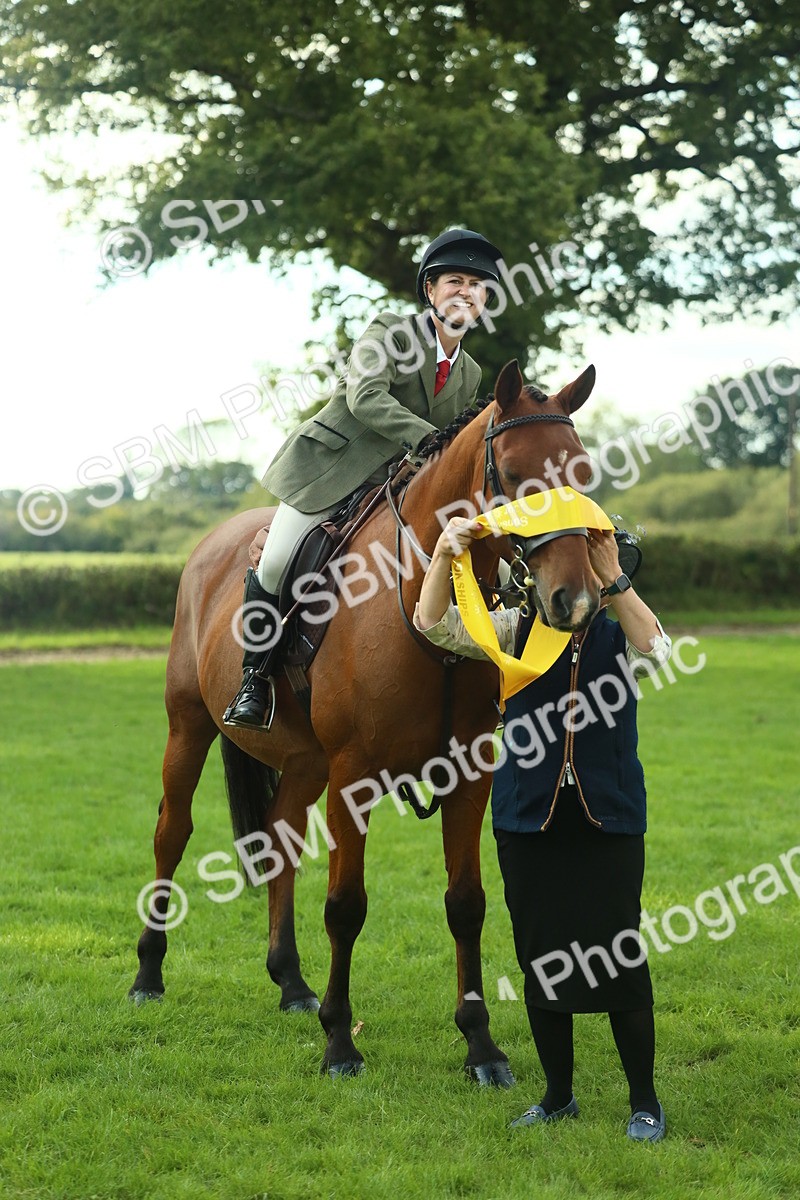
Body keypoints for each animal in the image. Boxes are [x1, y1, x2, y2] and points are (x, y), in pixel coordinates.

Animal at [130, 359, 599, 1082]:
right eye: (518, 476)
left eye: (582, 472)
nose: (573, 599)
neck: (427, 589)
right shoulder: (355, 773)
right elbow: (346, 907)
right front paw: (339, 1044)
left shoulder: (469, 773)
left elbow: (467, 904)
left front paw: (481, 1046)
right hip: (190, 727)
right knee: (171, 834)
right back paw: (149, 975)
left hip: (303, 762)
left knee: (280, 841)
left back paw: (291, 982)